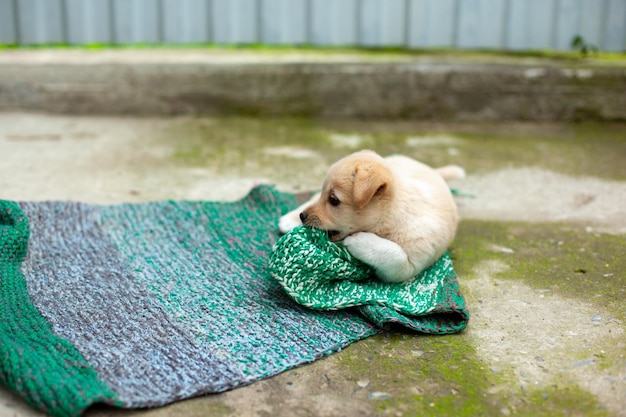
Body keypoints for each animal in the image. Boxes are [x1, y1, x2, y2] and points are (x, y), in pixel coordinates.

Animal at [280, 150, 464, 282]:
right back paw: (289, 219)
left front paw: (360, 241)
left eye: (333, 200)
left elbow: (396, 254)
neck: (393, 215)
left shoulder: (408, 266)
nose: (303, 216)